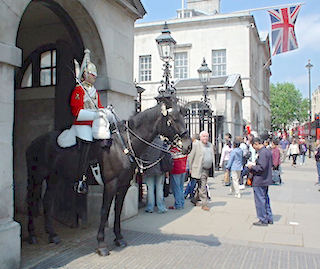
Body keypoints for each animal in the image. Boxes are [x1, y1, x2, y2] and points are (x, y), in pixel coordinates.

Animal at [26, 97, 191, 255]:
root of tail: (34, 142)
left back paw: (52, 235)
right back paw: (32, 235)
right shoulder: (111, 184)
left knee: (47, 201)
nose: (188, 145)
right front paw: (101, 244)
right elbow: (104, 211)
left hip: (54, 178)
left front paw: (119, 238)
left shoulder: (124, 185)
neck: (123, 145)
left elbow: (118, 210)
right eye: (173, 119)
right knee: (31, 201)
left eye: (183, 116)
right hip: (36, 177)